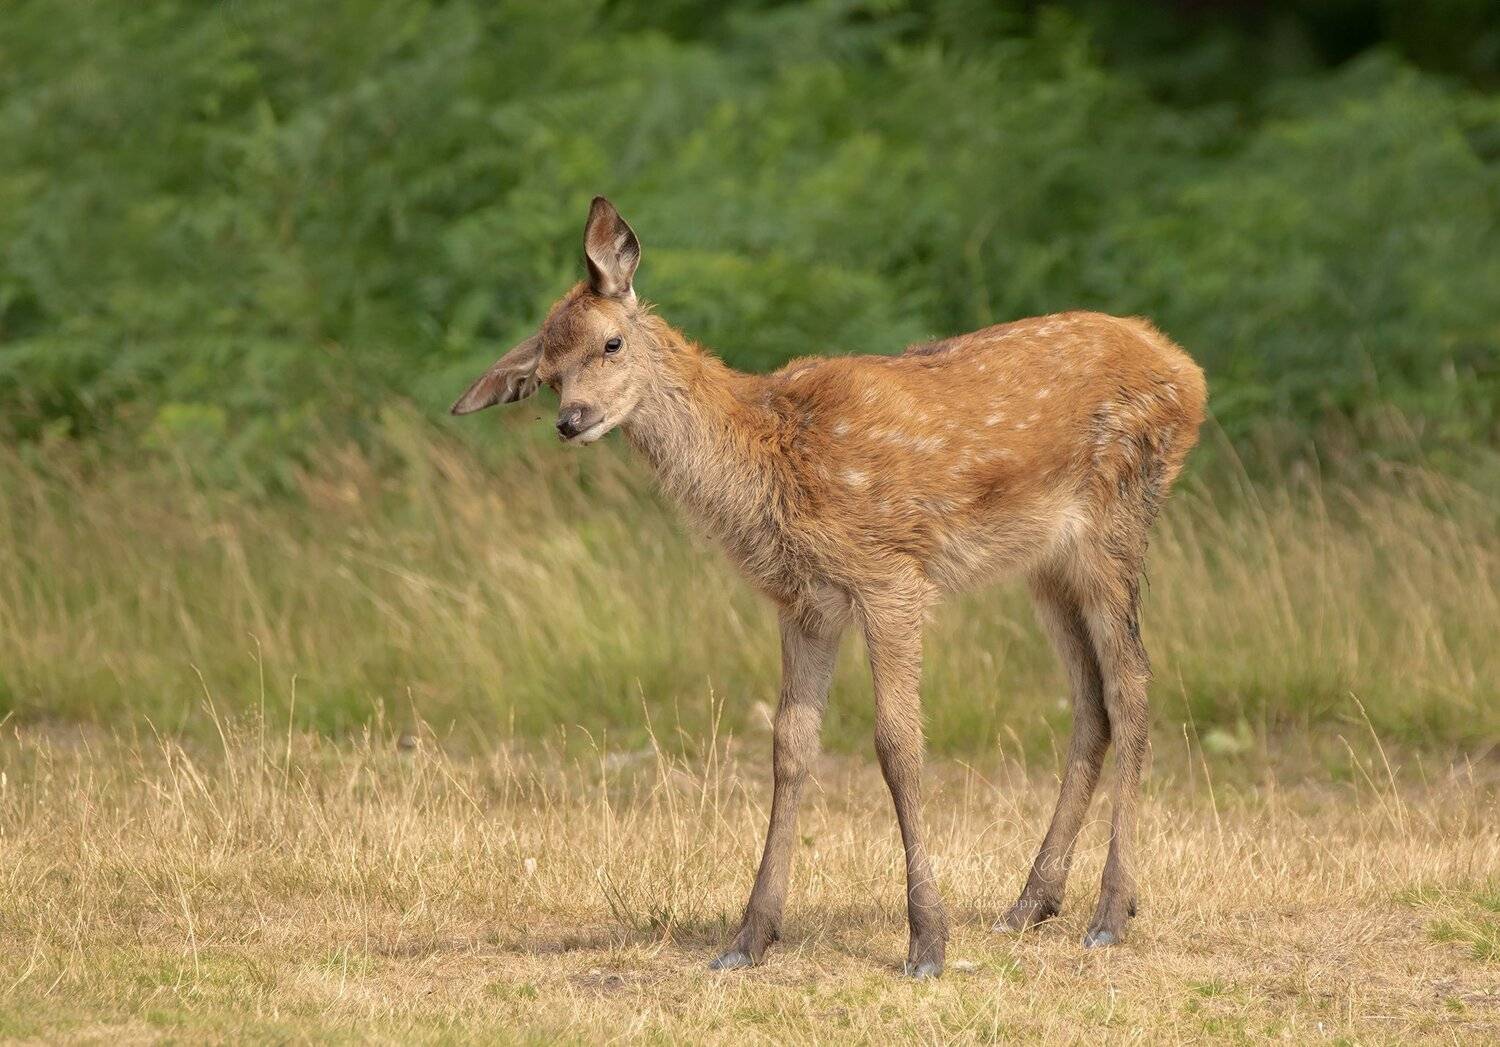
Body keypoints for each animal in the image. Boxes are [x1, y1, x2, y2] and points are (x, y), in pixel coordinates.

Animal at [452, 197, 1207, 978]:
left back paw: (1110, 912)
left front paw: (927, 941)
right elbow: (790, 746)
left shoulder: (891, 576)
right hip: (1045, 564)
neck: (772, 458)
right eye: (546, 370)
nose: (570, 420)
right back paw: (1032, 902)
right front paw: (749, 936)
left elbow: (898, 744)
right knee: (1091, 698)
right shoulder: (804, 603)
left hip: (1114, 520)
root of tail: (1188, 372)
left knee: (1132, 684)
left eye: (611, 343)